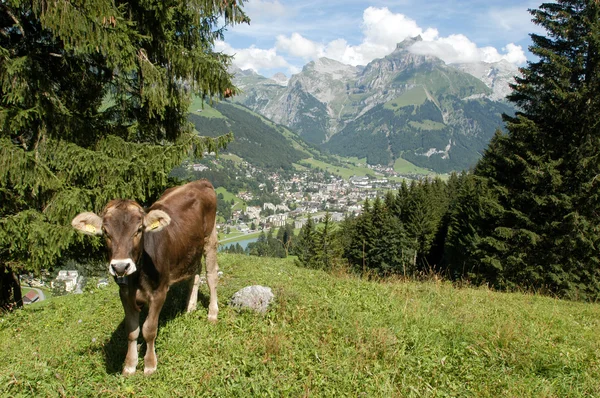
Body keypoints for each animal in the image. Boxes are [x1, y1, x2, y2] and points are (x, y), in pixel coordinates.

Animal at [71, 180, 219, 376]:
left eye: (139, 230)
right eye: (105, 232)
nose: (120, 266)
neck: (138, 278)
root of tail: (200, 181)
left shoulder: (159, 291)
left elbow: (149, 329)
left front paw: (150, 364)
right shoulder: (125, 294)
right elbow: (132, 331)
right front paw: (129, 365)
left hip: (210, 238)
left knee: (211, 275)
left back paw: (212, 313)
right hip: (191, 249)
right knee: (195, 273)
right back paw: (190, 307)